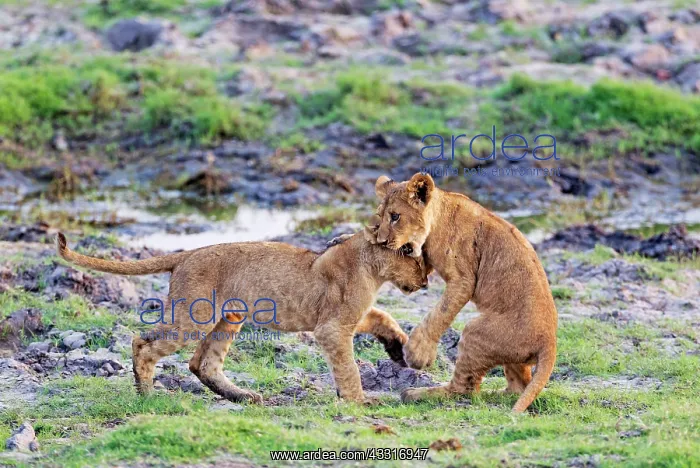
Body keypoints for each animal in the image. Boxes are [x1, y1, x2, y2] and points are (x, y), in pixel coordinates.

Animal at [55, 229, 430, 404]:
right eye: (413, 255)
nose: (426, 281)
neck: (370, 264)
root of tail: (187, 253)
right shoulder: (331, 327)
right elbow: (348, 368)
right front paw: (360, 400)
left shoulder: (349, 315)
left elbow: (382, 316)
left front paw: (398, 348)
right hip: (195, 318)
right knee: (142, 343)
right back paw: (147, 394)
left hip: (228, 316)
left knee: (202, 364)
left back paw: (243, 396)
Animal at [366, 172, 558, 413]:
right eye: (379, 216)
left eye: (395, 216)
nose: (382, 241)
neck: (437, 220)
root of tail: (549, 342)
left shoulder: (463, 279)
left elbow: (440, 313)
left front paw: (417, 353)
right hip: (513, 359)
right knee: (517, 388)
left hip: (475, 332)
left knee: (462, 389)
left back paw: (416, 393)